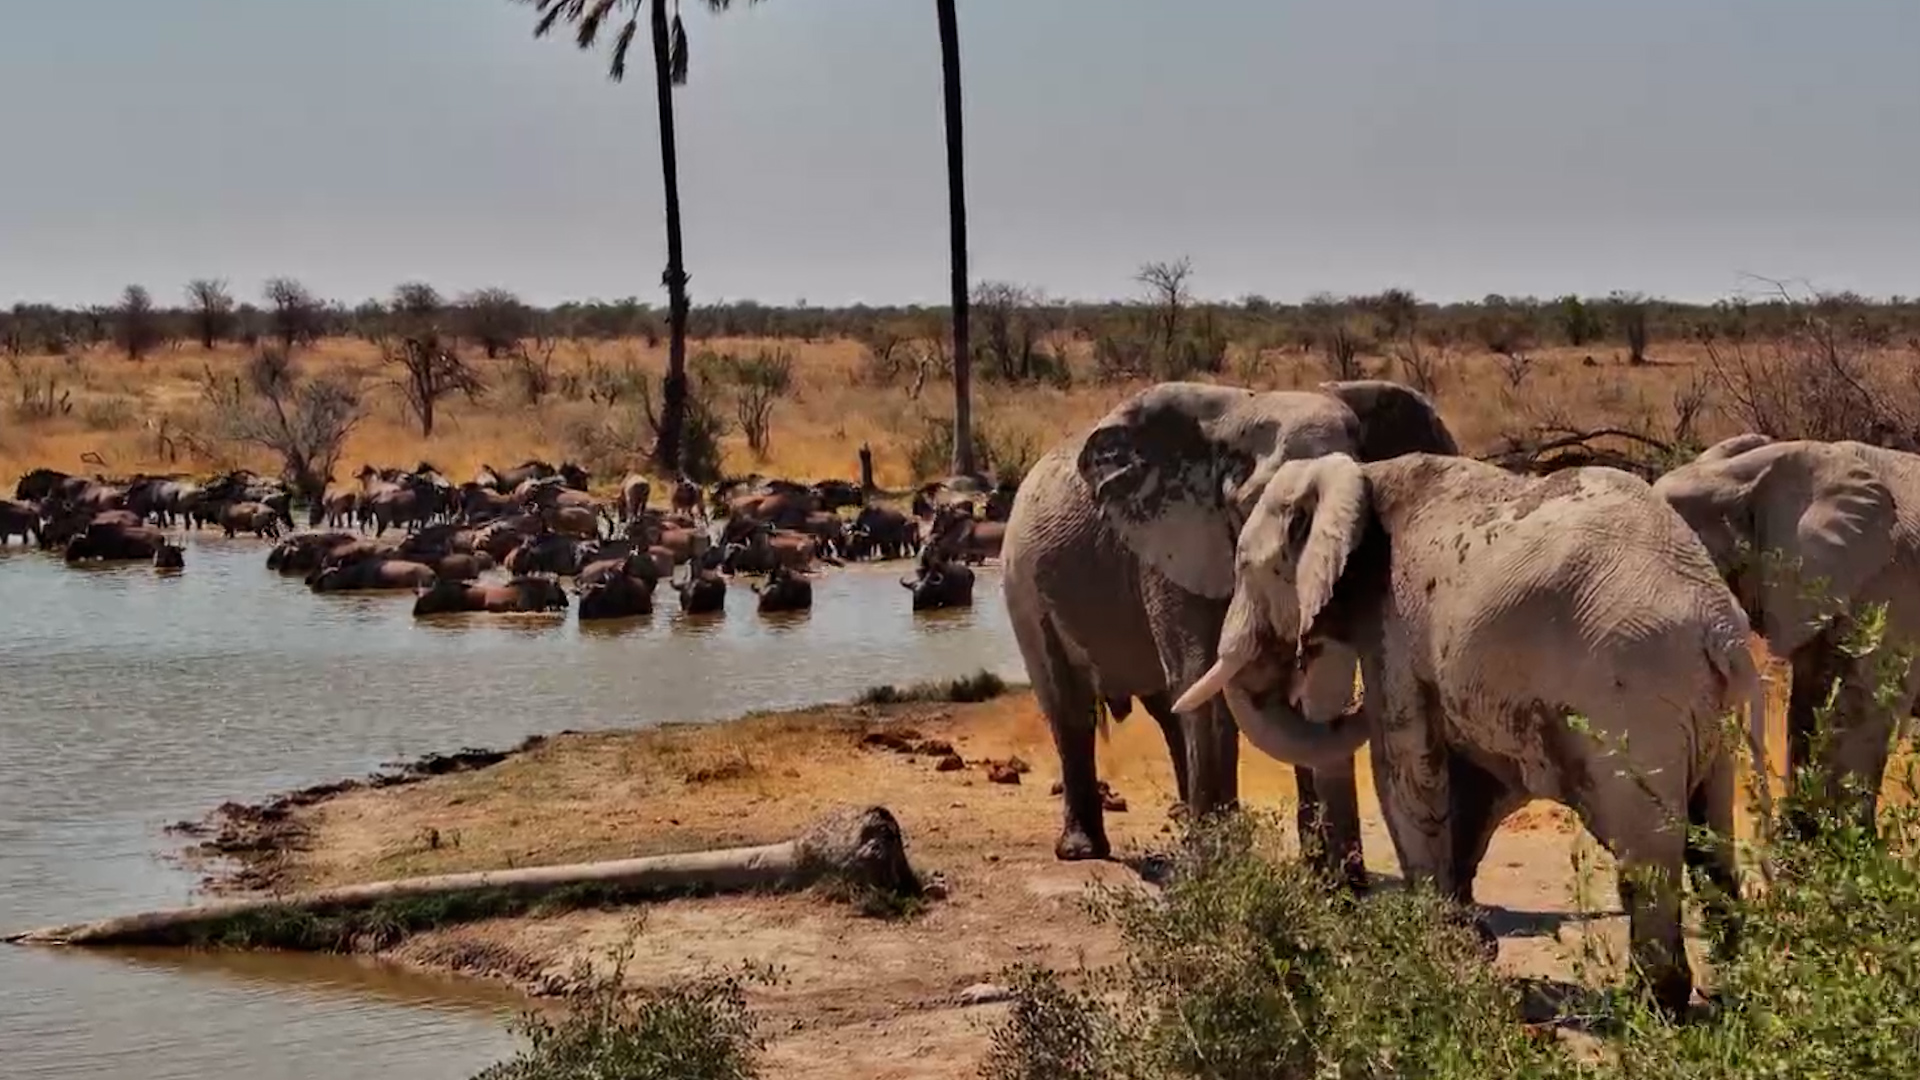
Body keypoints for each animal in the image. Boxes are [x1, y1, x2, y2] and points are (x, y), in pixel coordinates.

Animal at [1003, 378, 1460, 874]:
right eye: (1261, 509)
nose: (1350, 879)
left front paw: (1323, 878)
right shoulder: (1172, 547)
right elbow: (1204, 680)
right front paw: (1218, 870)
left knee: (1168, 710)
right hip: (1023, 584)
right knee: (1071, 706)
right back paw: (1084, 851)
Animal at [1174, 452, 1761, 1015]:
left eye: (1247, 568)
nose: (1303, 655)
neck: (1360, 475)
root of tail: (1720, 626)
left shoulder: (1394, 622)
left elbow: (1404, 769)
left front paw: (1431, 954)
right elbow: (1473, 787)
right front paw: (1468, 946)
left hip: (1635, 694)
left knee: (1645, 852)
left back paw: (1654, 1006)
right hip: (1703, 710)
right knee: (1711, 837)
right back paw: (1733, 989)